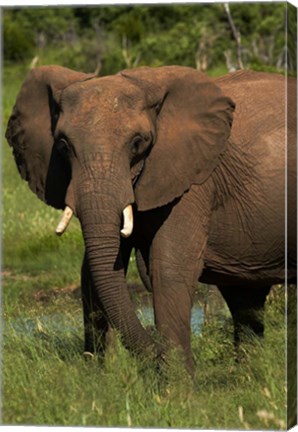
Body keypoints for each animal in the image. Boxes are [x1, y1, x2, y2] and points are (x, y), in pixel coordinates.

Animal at [6, 64, 296, 374]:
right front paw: (103, 375)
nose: (156, 352)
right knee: (245, 298)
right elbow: (93, 272)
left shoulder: (192, 179)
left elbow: (169, 268)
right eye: (62, 146)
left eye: (137, 143)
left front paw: (177, 384)